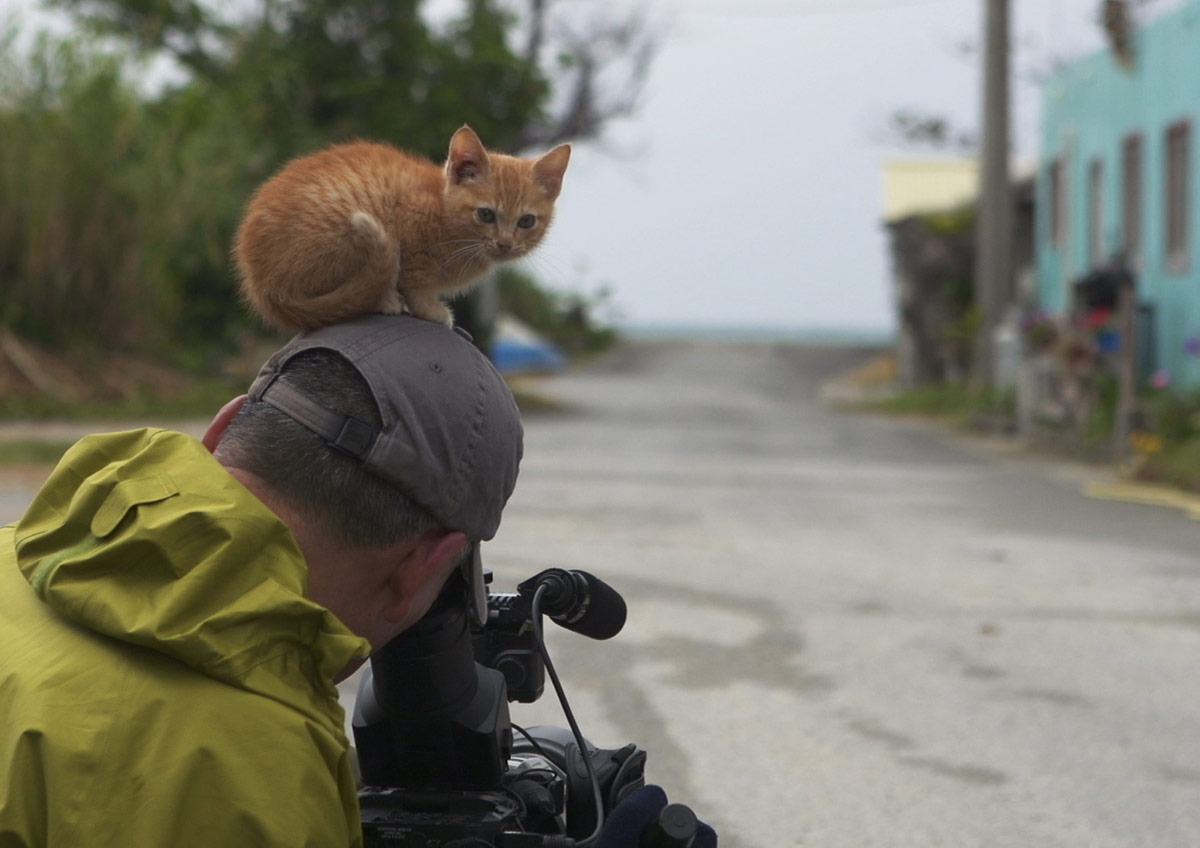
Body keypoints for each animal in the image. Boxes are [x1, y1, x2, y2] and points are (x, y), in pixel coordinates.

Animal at [236, 125, 573, 331]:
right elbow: (416, 280)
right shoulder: (409, 228)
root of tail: (265, 287)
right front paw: (430, 309)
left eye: (526, 221)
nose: (504, 243)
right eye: (486, 214)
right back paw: (385, 299)